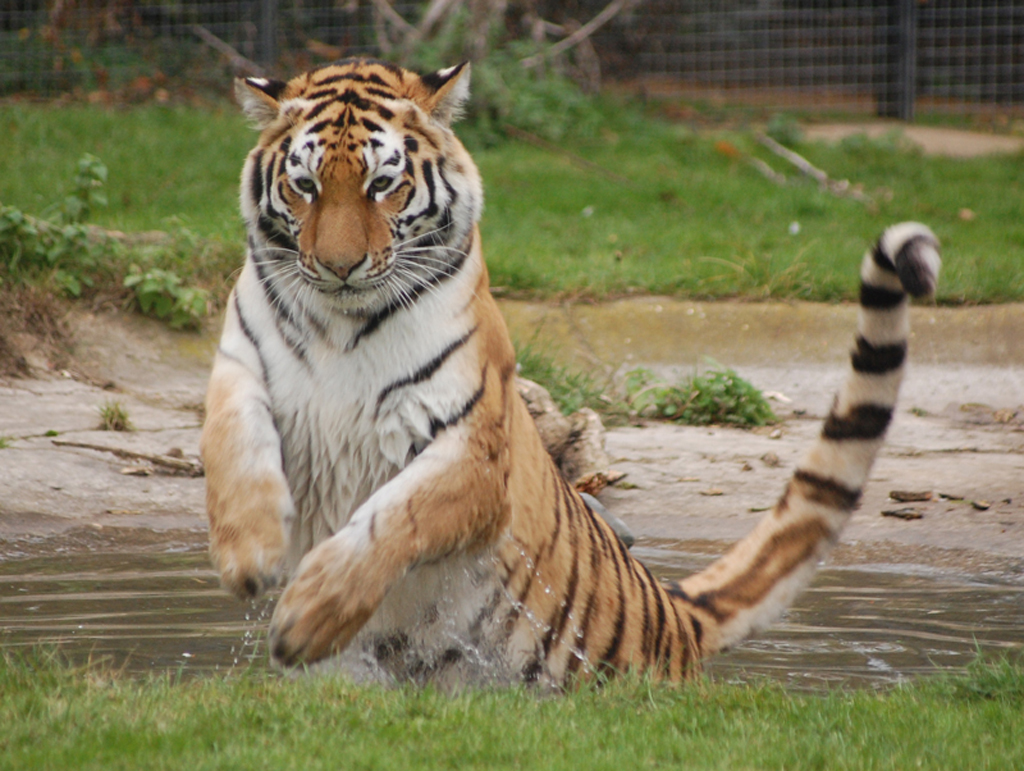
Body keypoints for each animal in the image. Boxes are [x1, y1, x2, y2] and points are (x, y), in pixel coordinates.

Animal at [200, 57, 941, 688]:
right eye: (304, 185)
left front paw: (309, 614)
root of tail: (676, 616)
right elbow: (233, 450)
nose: (338, 266)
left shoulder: (472, 449)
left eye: (382, 184)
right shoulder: (240, 367)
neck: (341, 323)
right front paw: (250, 556)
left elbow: (393, 517)